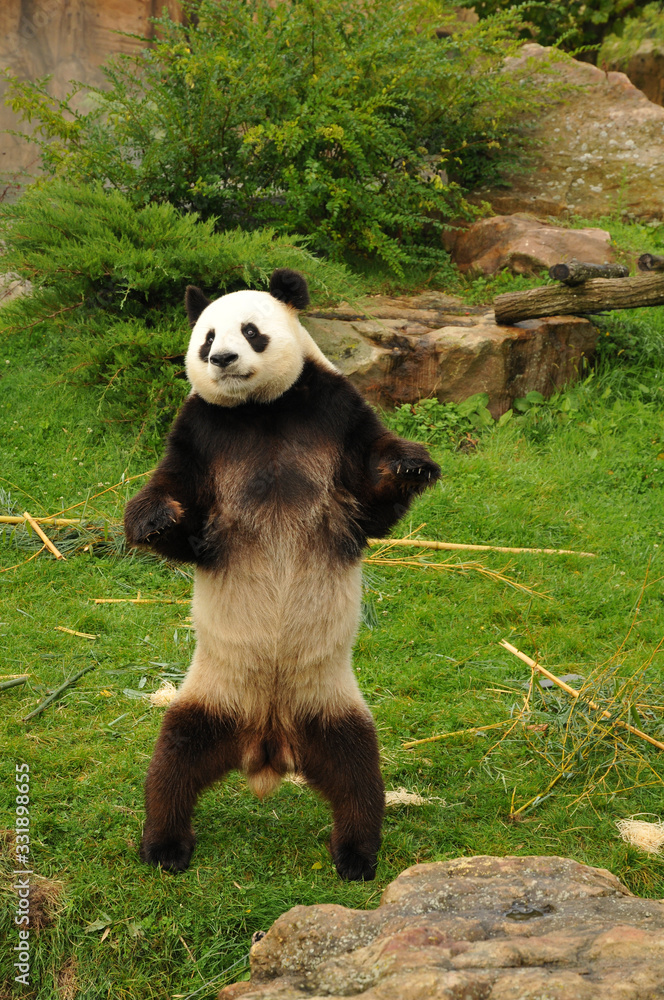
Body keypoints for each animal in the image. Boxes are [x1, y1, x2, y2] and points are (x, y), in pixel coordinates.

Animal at [124, 269, 441, 880]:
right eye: (206, 337)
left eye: (251, 331)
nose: (221, 359)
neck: (258, 411)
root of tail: (268, 742)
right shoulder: (198, 432)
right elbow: (174, 500)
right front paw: (155, 519)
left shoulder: (336, 414)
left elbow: (375, 499)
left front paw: (411, 464)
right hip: (212, 695)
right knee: (173, 762)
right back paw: (165, 846)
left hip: (331, 704)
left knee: (357, 773)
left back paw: (356, 854)